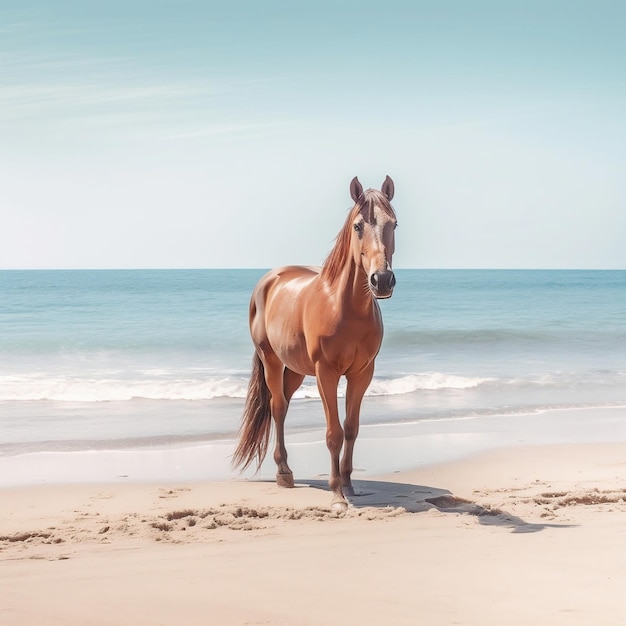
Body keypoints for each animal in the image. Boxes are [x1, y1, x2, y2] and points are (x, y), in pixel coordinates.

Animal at [232, 173, 398, 510]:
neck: (344, 306)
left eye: (395, 224)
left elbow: (351, 428)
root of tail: (270, 279)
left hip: (295, 369)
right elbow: (334, 432)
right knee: (277, 407)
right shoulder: (326, 373)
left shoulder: (362, 374)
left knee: (284, 403)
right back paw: (284, 473)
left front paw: (348, 484)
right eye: (358, 226)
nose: (382, 281)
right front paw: (336, 495)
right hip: (272, 361)